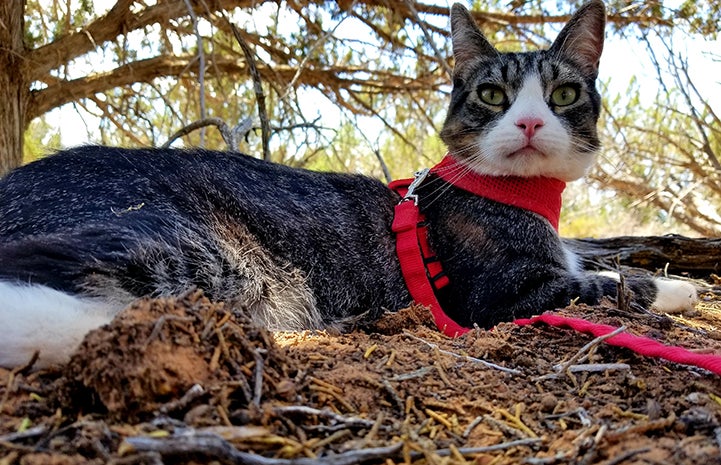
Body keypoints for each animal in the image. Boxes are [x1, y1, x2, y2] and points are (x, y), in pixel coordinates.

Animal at [0, 0, 696, 366]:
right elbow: (603, 284)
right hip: (195, 249)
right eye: (492, 95)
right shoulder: (502, 296)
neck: (523, 194)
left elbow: (596, 261)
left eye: (565, 94)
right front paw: (677, 286)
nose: (527, 121)